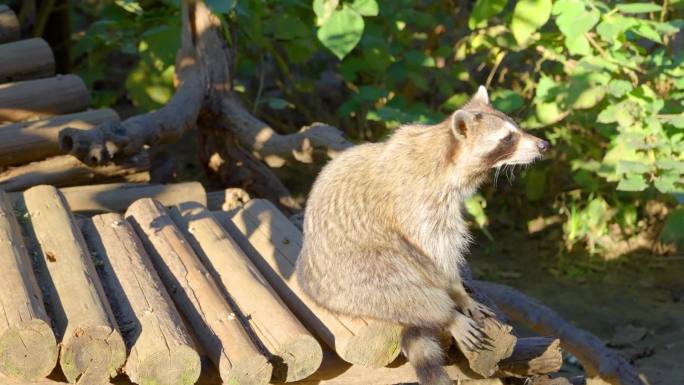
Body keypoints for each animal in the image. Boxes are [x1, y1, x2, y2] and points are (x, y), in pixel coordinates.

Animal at [296, 85, 552, 382]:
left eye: (517, 127)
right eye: (507, 138)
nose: (544, 145)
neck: (443, 154)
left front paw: (460, 291)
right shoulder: (418, 202)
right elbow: (434, 252)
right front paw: (453, 296)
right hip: (349, 275)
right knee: (393, 282)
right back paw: (444, 314)